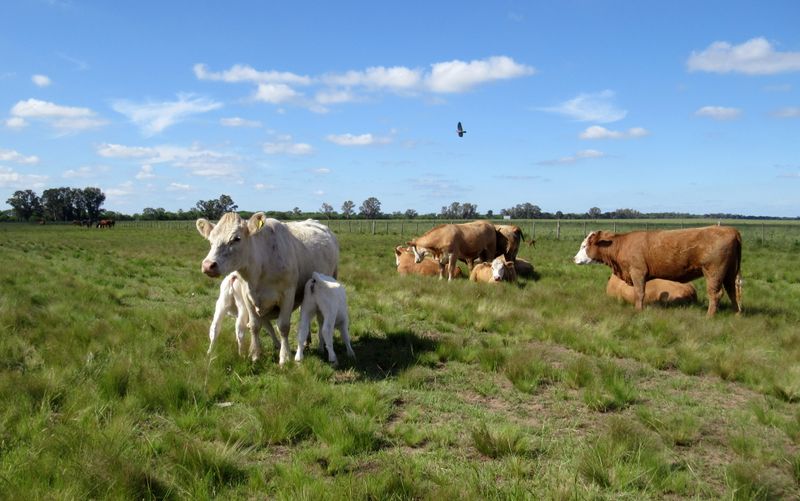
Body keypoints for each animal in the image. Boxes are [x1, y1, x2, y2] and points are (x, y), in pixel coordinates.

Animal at [200, 212, 340, 364]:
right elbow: (254, 325)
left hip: (332, 275)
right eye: (210, 239)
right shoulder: (247, 297)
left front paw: (284, 357)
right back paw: (306, 340)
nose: (208, 265)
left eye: (236, 238)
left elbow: (283, 327)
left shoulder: (288, 294)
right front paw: (255, 355)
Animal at [576, 225, 744, 314]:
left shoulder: (638, 272)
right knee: (732, 292)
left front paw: (638, 310)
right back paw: (736, 313)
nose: (574, 259)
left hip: (714, 272)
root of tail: (730, 230)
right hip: (729, 273)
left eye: (584, 246)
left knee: (716, 294)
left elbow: (639, 293)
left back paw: (709, 316)